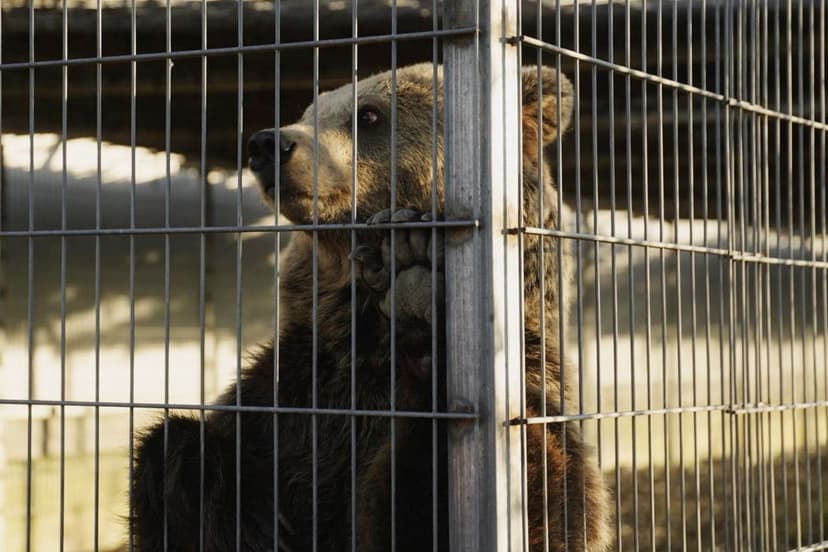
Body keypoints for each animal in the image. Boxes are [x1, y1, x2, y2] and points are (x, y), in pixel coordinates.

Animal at [130, 62, 608, 551]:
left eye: (369, 115)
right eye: (310, 112)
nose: (268, 144)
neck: (365, 338)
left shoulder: (535, 382)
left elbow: (538, 503)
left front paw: (418, 291)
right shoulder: (291, 396)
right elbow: (184, 456)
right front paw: (256, 517)